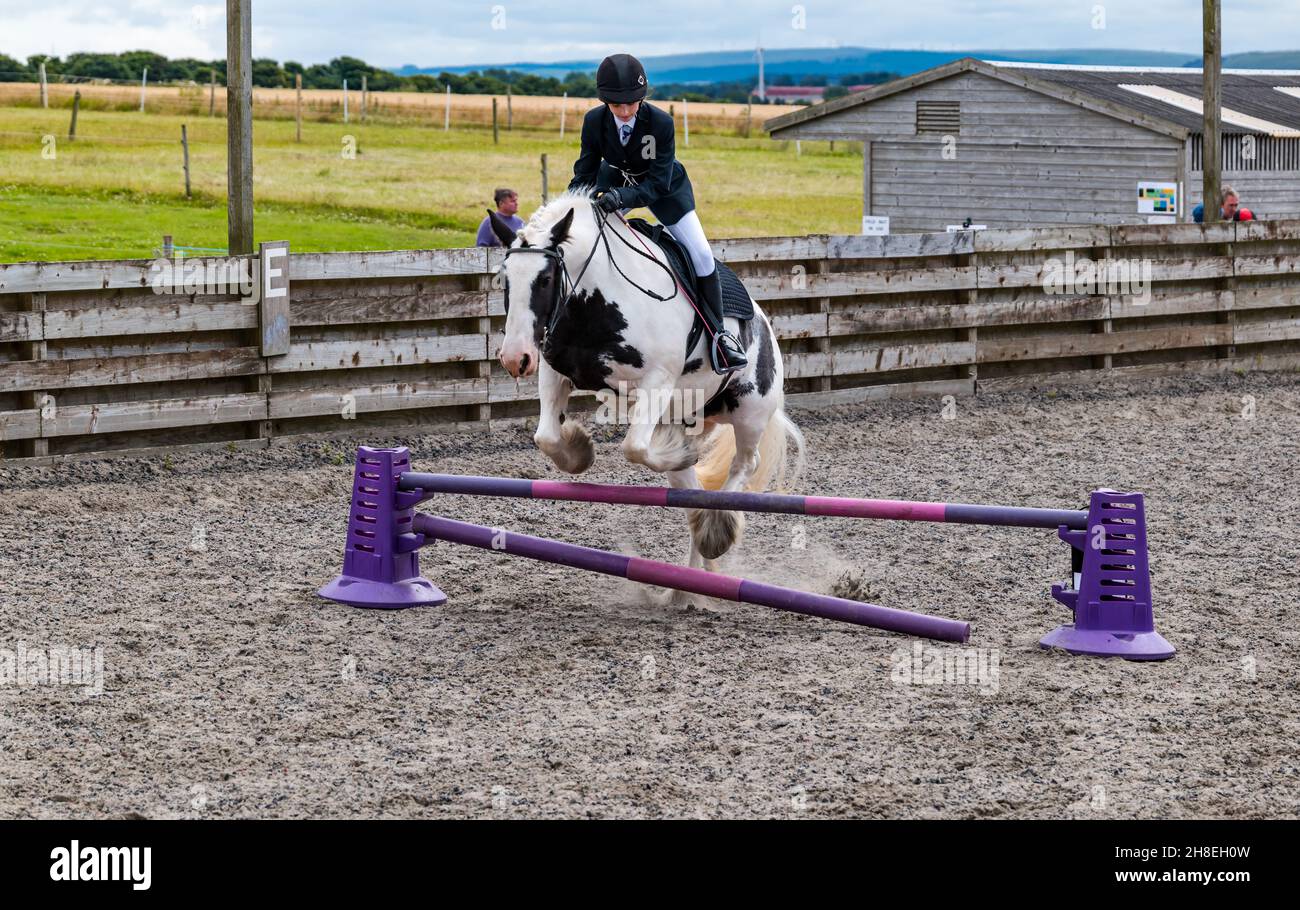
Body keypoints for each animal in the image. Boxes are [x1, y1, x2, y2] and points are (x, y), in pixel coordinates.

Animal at [491, 192, 806, 574]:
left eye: (546, 279)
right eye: (505, 279)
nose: (515, 358)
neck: (595, 301)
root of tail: (766, 326)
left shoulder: (658, 378)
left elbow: (634, 447)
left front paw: (678, 453)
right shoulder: (554, 370)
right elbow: (547, 437)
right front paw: (580, 450)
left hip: (750, 412)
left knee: (745, 464)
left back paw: (716, 529)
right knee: (692, 494)